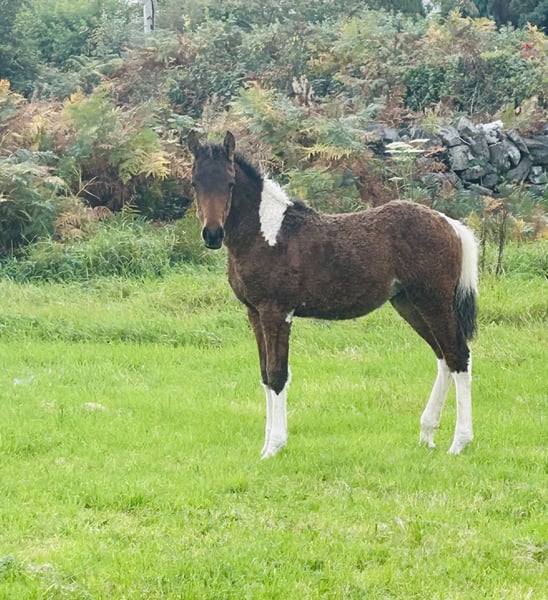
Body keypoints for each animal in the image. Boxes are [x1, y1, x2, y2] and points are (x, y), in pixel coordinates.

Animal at [188, 130, 479, 459]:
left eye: (230, 182)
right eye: (195, 182)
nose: (212, 234)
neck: (267, 234)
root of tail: (450, 224)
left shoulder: (277, 312)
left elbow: (277, 374)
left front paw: (274, 446)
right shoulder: (254, 312)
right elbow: (264, 375)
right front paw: (265, 446)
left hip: (434, 301)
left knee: (458, 356)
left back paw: (459, 442)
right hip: (409, 304)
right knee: (443, 357)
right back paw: (427, 434)